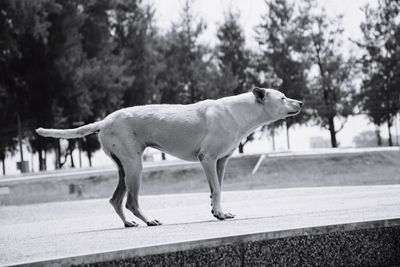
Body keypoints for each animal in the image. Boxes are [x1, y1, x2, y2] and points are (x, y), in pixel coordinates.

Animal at [36, 88, 304, 228]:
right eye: (282, 98)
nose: (300, 101)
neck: (239, 111)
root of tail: (104, 121)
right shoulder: (207, 159)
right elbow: (217, 189)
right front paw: (218, 213)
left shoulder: (221, 162)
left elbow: (217, 189)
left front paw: (218, 211)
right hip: (134, 167)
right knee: (131, 201)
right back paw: (148, 220)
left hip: (124, 168)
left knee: (116, 200)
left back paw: (129, 223)